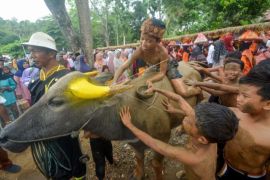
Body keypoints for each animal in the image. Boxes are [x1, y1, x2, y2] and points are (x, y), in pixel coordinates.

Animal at [0, 61, 200, 179]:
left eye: (56, 101)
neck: (130, 108)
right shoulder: (136, 144)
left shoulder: (162, 140)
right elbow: (139, 163)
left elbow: (157, 165)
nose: (4, 135)